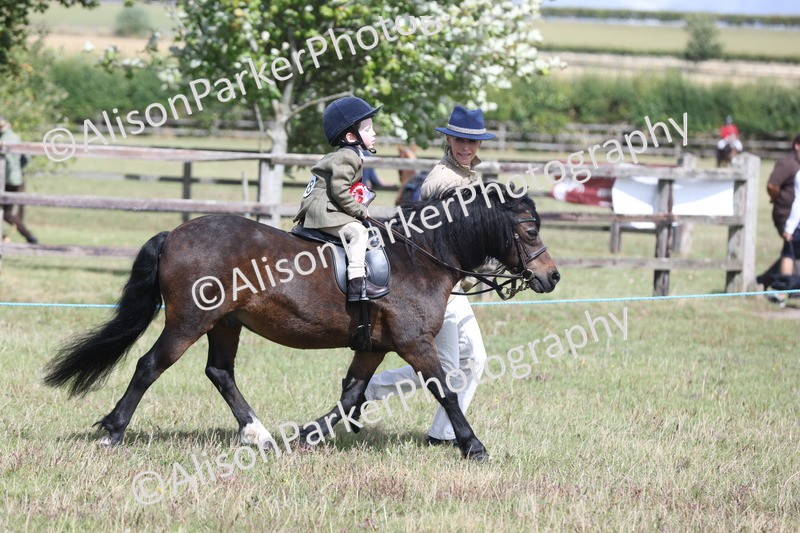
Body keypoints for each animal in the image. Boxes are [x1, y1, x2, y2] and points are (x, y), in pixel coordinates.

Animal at [43, 183, 560, 461]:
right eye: (530, 229)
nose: (551, 276)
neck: (419, 256)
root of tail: (175, 232)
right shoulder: (415, 343)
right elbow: (445, 390)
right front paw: (473, 445)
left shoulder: (374, 346)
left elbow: (351, 394)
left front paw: (308, 435)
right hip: (189, 322)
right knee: (150, 366)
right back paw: (114, 431)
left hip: (226, 323)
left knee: (220, 372)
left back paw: (260, 434)